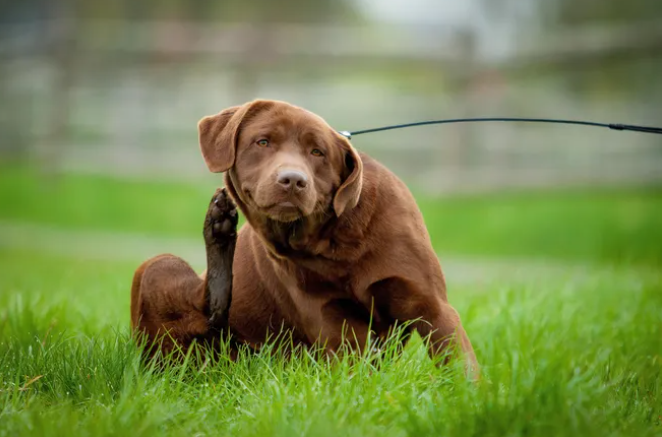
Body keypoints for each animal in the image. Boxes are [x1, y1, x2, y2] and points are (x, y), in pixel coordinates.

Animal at [131, 99, 478, 372]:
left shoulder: (430, 305)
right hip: (157, 267)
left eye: (317, 152)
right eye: (263, 142)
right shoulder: (331, 323)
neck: (331, 241)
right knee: (206, 312)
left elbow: (457, 362)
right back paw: (218, 228)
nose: (293, 180)